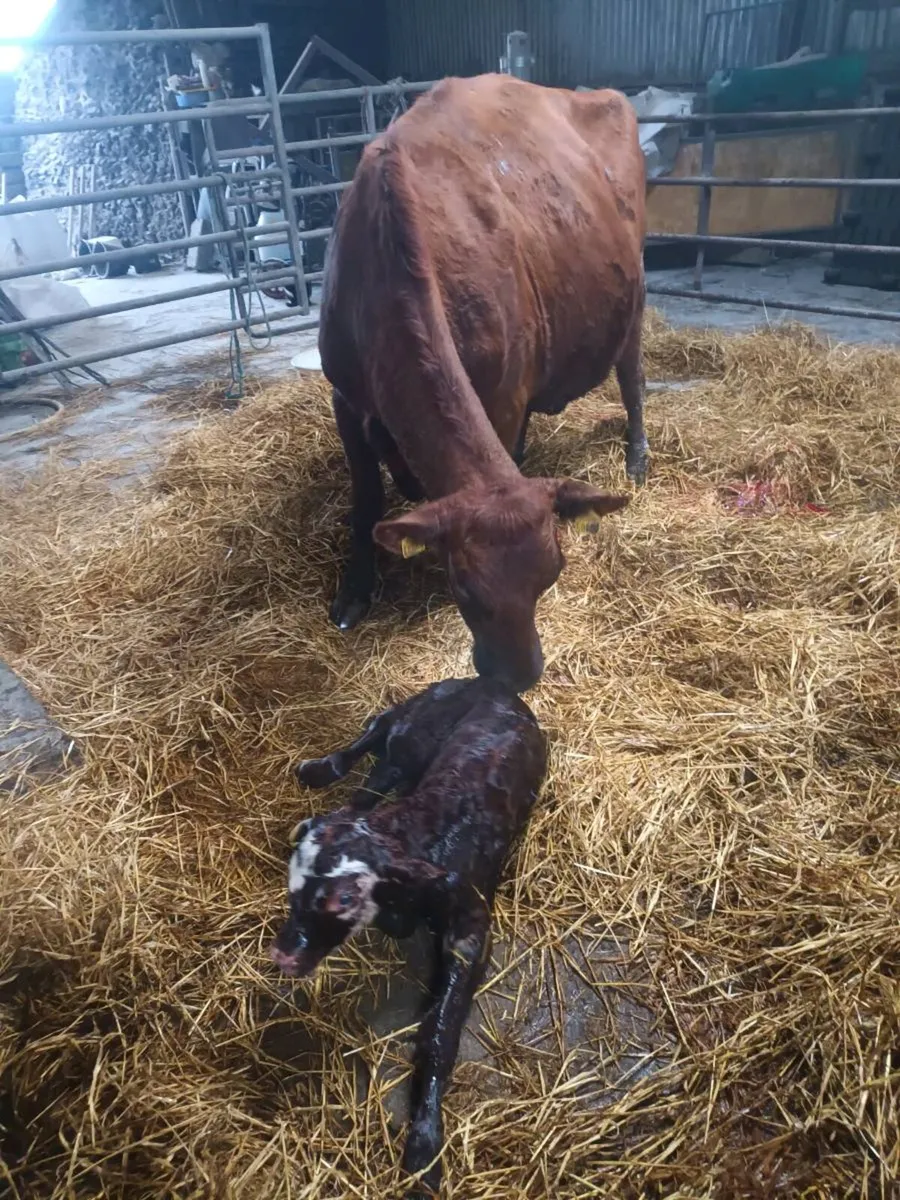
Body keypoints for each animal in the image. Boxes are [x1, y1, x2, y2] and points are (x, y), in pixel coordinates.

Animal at [271, 677, 548, 1198]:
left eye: (343, 900)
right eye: (292, 886)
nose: (285, 955)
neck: (430, 828)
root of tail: (496, 683)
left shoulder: (470, 931)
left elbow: (440, 1034)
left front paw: (424, 1148)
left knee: (376, 772)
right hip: (415, 723)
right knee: (376, 743)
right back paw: (319, 772)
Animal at [319, 73, 646, 691]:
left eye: (553, 574)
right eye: (465, 589)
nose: (518, 678)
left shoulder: (504, 394)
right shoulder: (345, 397)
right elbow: (366, 497)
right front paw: (355, 591)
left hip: (634, 297)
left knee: (633, 378)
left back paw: (638, 457)